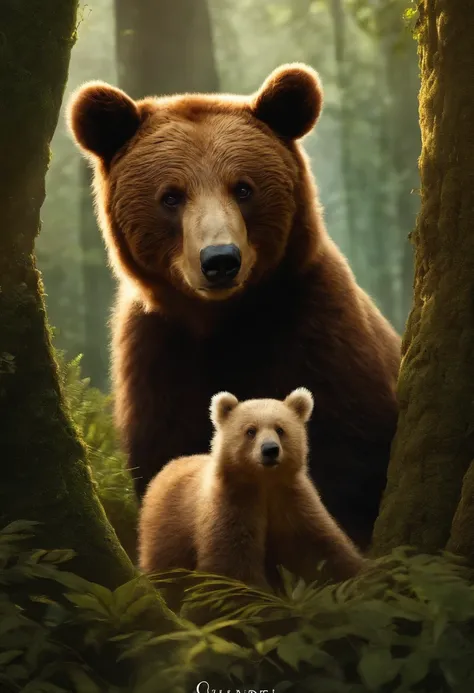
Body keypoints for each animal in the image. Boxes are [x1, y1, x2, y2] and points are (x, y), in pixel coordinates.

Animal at [66, 62, 400, 548]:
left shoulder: (315, 332)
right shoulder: (160, 354)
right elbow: (169, 455)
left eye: (243, 188)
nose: (220, 259)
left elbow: (349, 462)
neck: (224, 322)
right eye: (171, 195)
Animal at [137, 390, 362, 588]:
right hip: (169, 528)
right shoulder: (233, 505)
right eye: (250, 430)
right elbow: (233, 565)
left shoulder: (292, 501)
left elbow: (321, 549)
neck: (263, 482)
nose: (270, 450)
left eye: (280, 429)